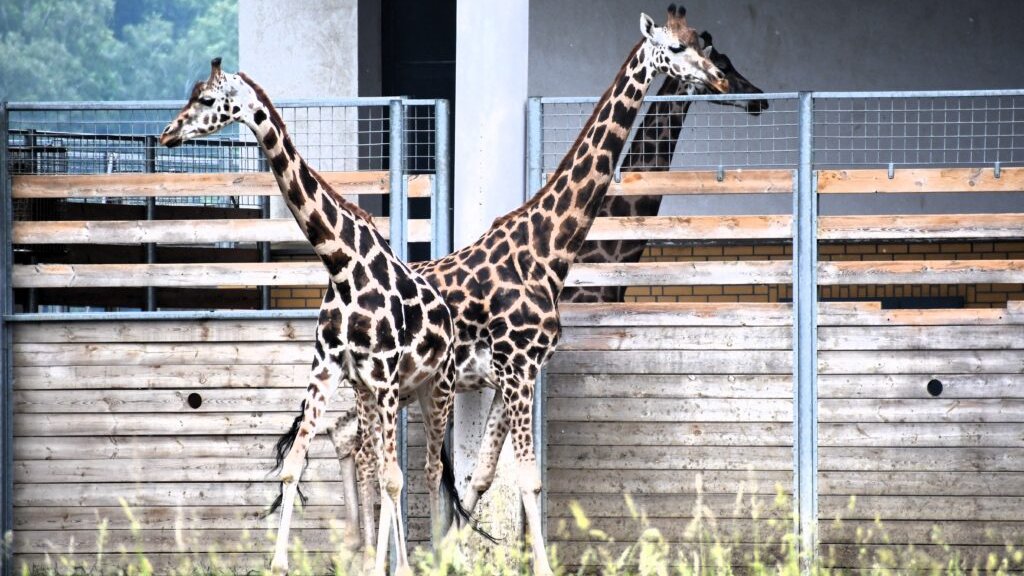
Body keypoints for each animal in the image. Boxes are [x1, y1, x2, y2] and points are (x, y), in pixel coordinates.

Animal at [158, 59, 456, 573]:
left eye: (206, 100)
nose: (167, 133)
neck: (341, 265)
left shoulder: (383, 375)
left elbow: (394, 478)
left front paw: (385, 566)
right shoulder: (330, 370)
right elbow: (296, 465)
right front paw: (279, 563)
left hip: (435, 388)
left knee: (428, 469)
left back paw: (424, 560)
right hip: (389, 393)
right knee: (385, 464)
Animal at [327, 5, 729, 573]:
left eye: (700, 43)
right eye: (674, 49)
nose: (718, 78)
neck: (546, 248)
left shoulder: (513, 375)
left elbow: (481, 476)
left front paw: (453, 554)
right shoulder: (518, 369)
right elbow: (528, 481)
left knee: (350, 445)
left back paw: (363, 554)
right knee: (355, 450)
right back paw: (363, 555)